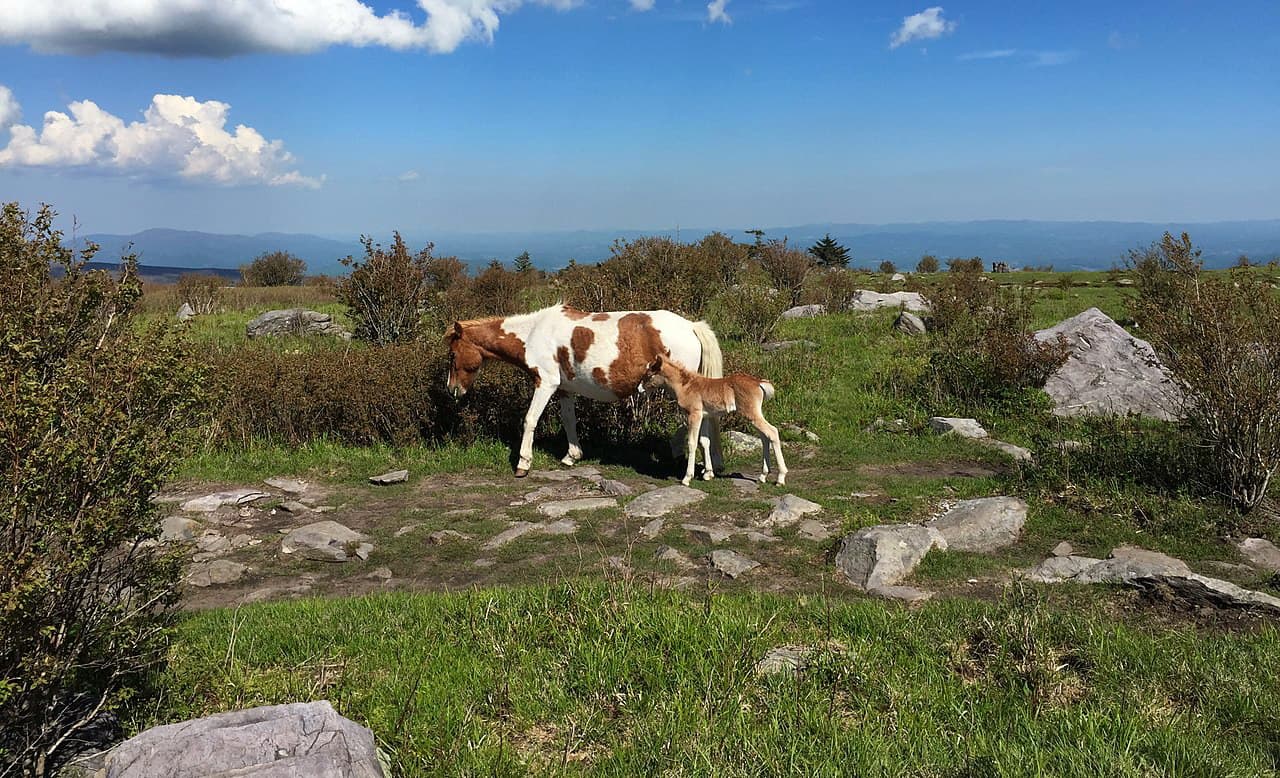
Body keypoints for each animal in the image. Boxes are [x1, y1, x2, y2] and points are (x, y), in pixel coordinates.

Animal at [445, 303, 725, 477]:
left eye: (452, 354)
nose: (452, 390)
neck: (534, 333)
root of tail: (691, 326)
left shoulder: (545, 383)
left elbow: (530, 420)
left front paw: (523, 463)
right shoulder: (563, 389)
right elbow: (569, 420)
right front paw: (572, 455)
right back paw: (709, 468)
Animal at [644, 353, 787, 486]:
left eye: (650, 374)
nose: (641, 388)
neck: (686, 385)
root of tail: (758, 383)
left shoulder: (694, 415)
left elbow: (692, 442)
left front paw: (687, 478)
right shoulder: (705, 417)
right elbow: (704, 441)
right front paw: (708, 474)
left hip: (751, 414)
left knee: (772, 432)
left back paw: (780, 478)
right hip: (755, 415)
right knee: (764, 437)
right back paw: (762, 476)